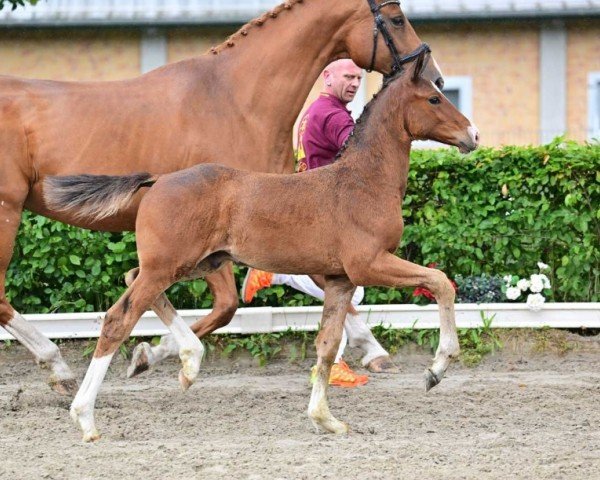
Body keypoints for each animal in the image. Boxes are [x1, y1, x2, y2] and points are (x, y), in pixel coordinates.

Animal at [0, 0, 442, 394]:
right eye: (397, 19)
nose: (435, 76)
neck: (236, 98)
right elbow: (227, 305)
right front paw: (159, 355)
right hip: (8, 211)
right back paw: (58, 367)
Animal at [44, 47, 480, 440]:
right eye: (434, 98)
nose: (473, 135)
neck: (363, 181)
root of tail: (158, 179)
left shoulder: (340, 280)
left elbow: (326, 343)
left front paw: (325, 419)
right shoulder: (369, 263)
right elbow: (440, 281)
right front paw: (437, 368)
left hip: (193, 263)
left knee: (133, 277)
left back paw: (186, 362)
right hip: (169, 265)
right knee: (119, 318)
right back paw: (86, 418)